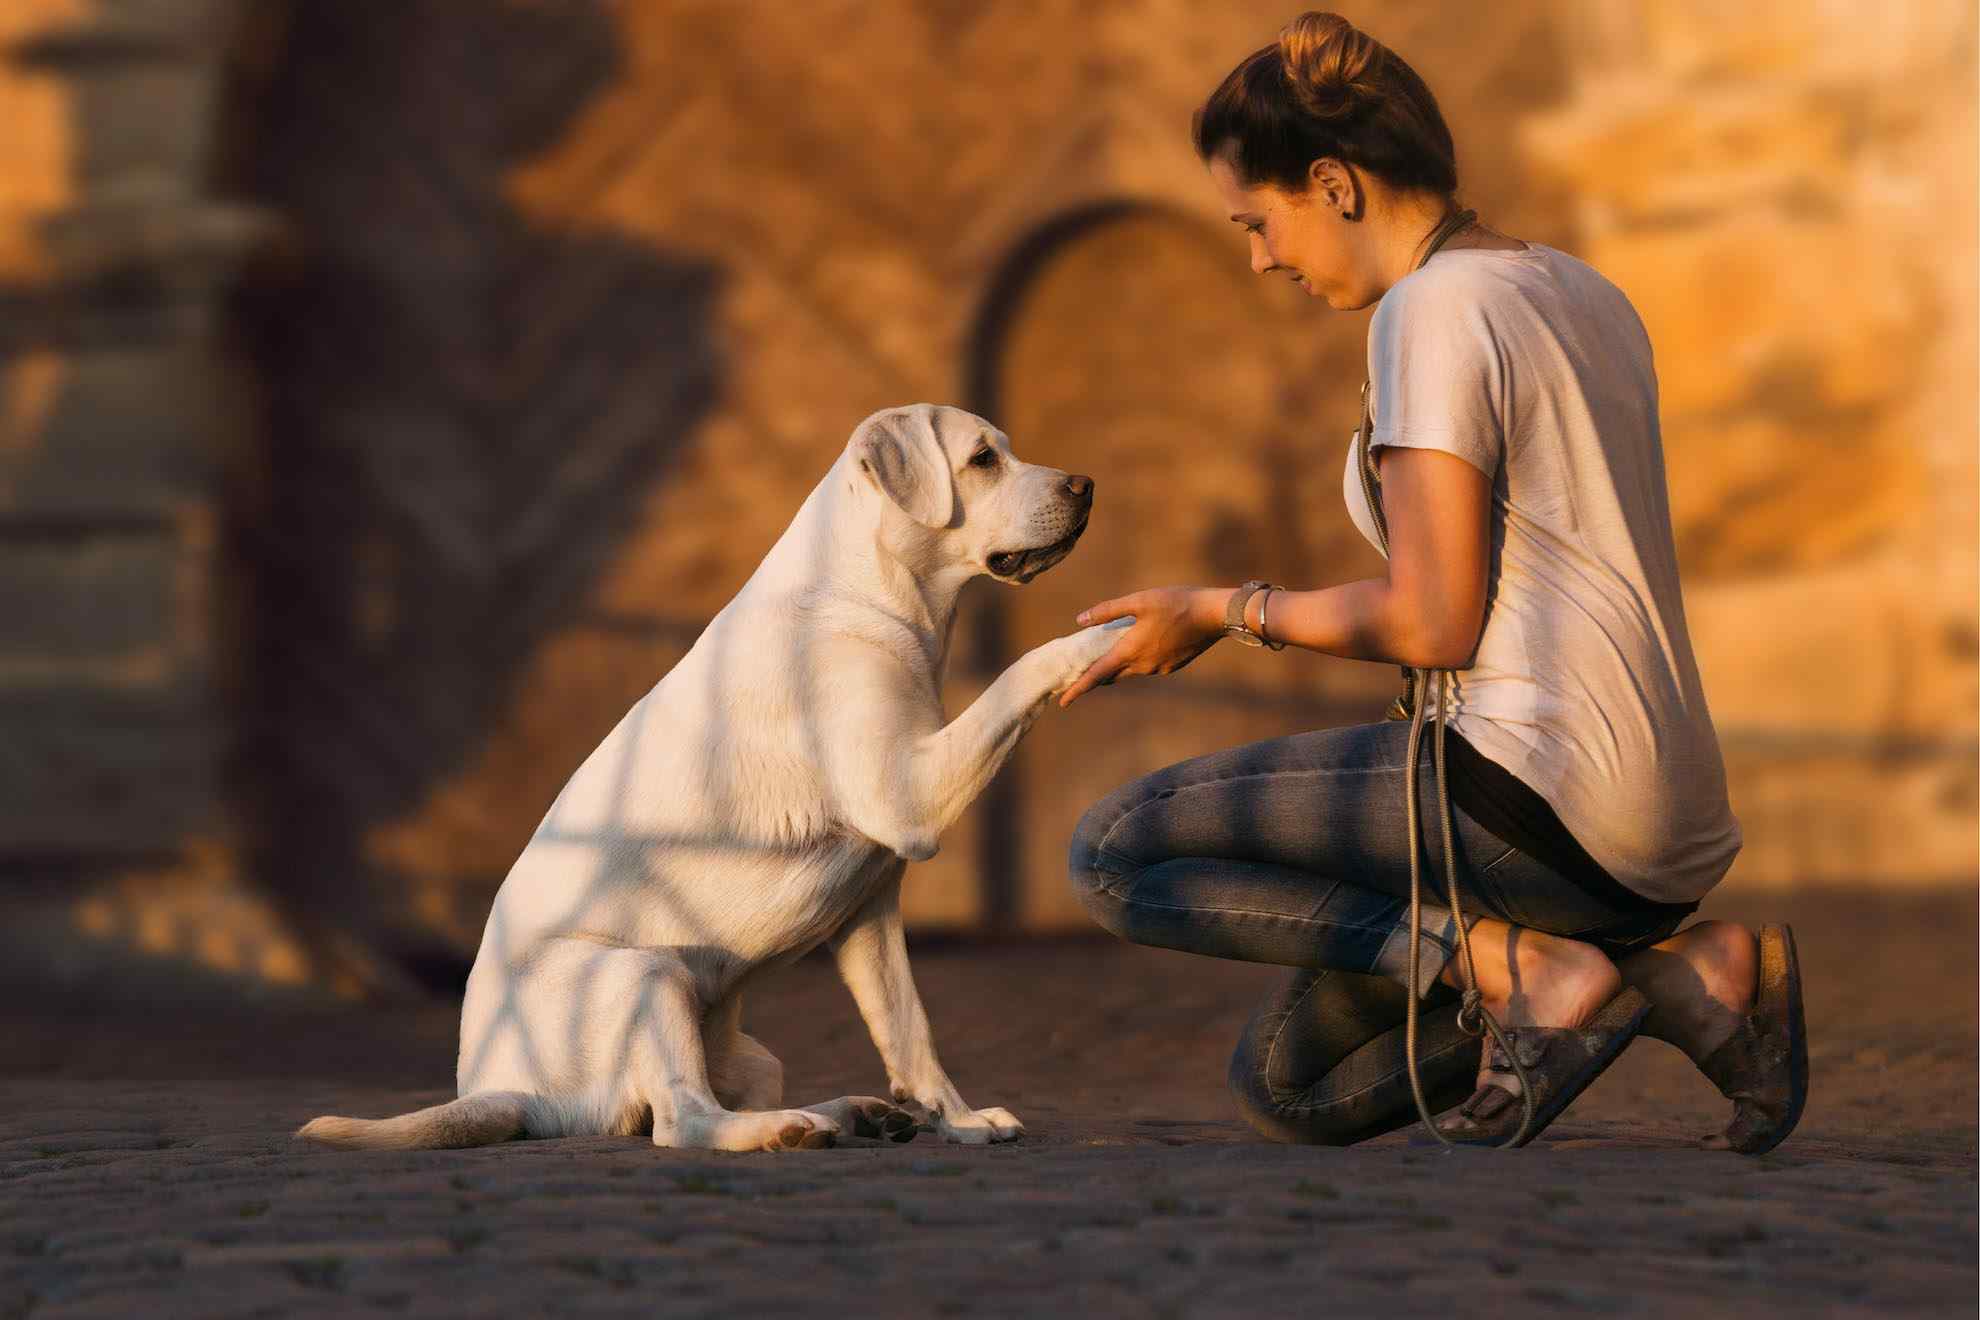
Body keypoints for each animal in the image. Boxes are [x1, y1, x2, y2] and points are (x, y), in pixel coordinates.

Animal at [298, 405, 1124, 1155]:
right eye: (984, 458)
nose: (1087, 485)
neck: (869, 593)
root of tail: (511, 1093)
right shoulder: (908, 799)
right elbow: (1022, 672)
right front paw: (1108, 636)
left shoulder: (871, 907)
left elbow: (909, 1030)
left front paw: (959, 1120)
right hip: (645, 976)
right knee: (681, 1122)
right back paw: (791, 1131)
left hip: (751, 1053)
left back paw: (856, 1114)